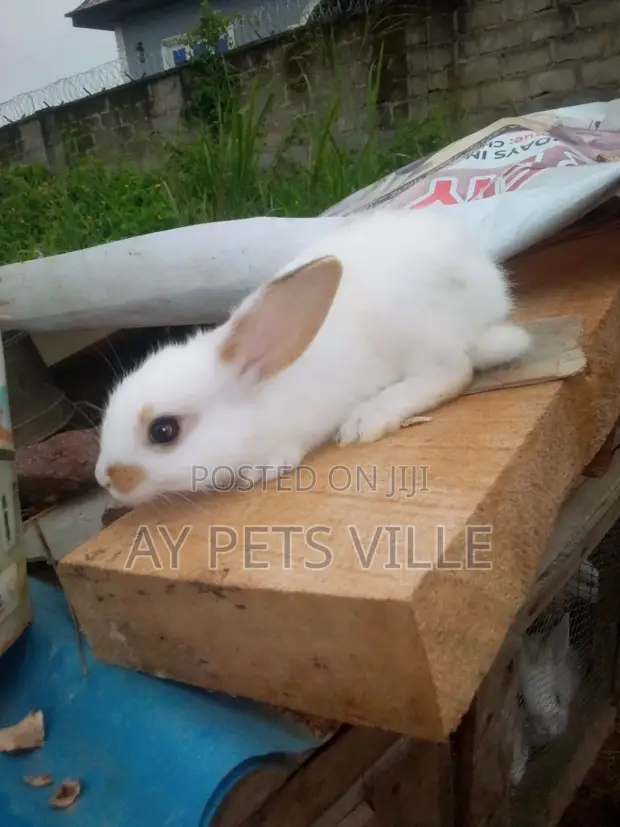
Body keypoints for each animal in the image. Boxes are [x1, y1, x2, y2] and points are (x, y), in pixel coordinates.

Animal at [95, 207, 532, 507]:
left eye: (164, 431)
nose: (105, 479)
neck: (262, 388)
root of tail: (490, 297)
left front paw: (261, 469)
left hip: (420, 330)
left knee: (453, 371)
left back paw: (366, 420)